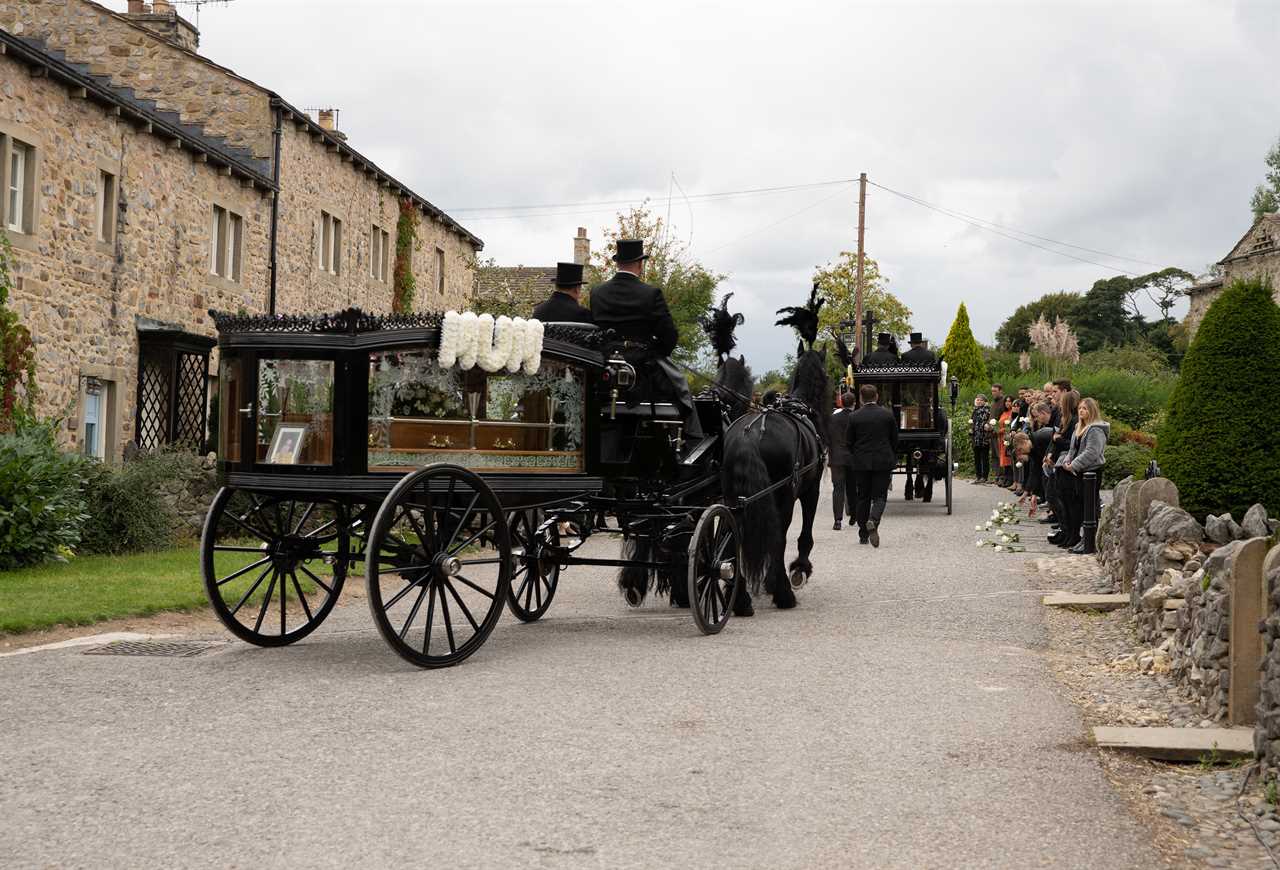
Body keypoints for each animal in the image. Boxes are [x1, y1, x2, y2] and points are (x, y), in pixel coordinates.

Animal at [721, 286, 829, 611]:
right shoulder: (810, 489)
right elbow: (803, 536)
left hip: (734, 497)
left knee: (737, 535)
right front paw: (798, 570)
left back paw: (741, 598)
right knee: (777, 535)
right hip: (781, 494)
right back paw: (783, 594)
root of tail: (748, 435)